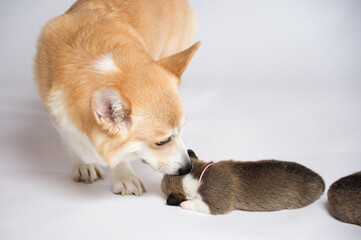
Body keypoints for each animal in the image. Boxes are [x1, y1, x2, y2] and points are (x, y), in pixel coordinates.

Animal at [33, 0, 198, 195]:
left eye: (180, 129)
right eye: (161, 142)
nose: (188, 167)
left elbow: (120, 153)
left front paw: (124, 176)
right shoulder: (57, 113)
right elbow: (72, 141)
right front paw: (84, 164)